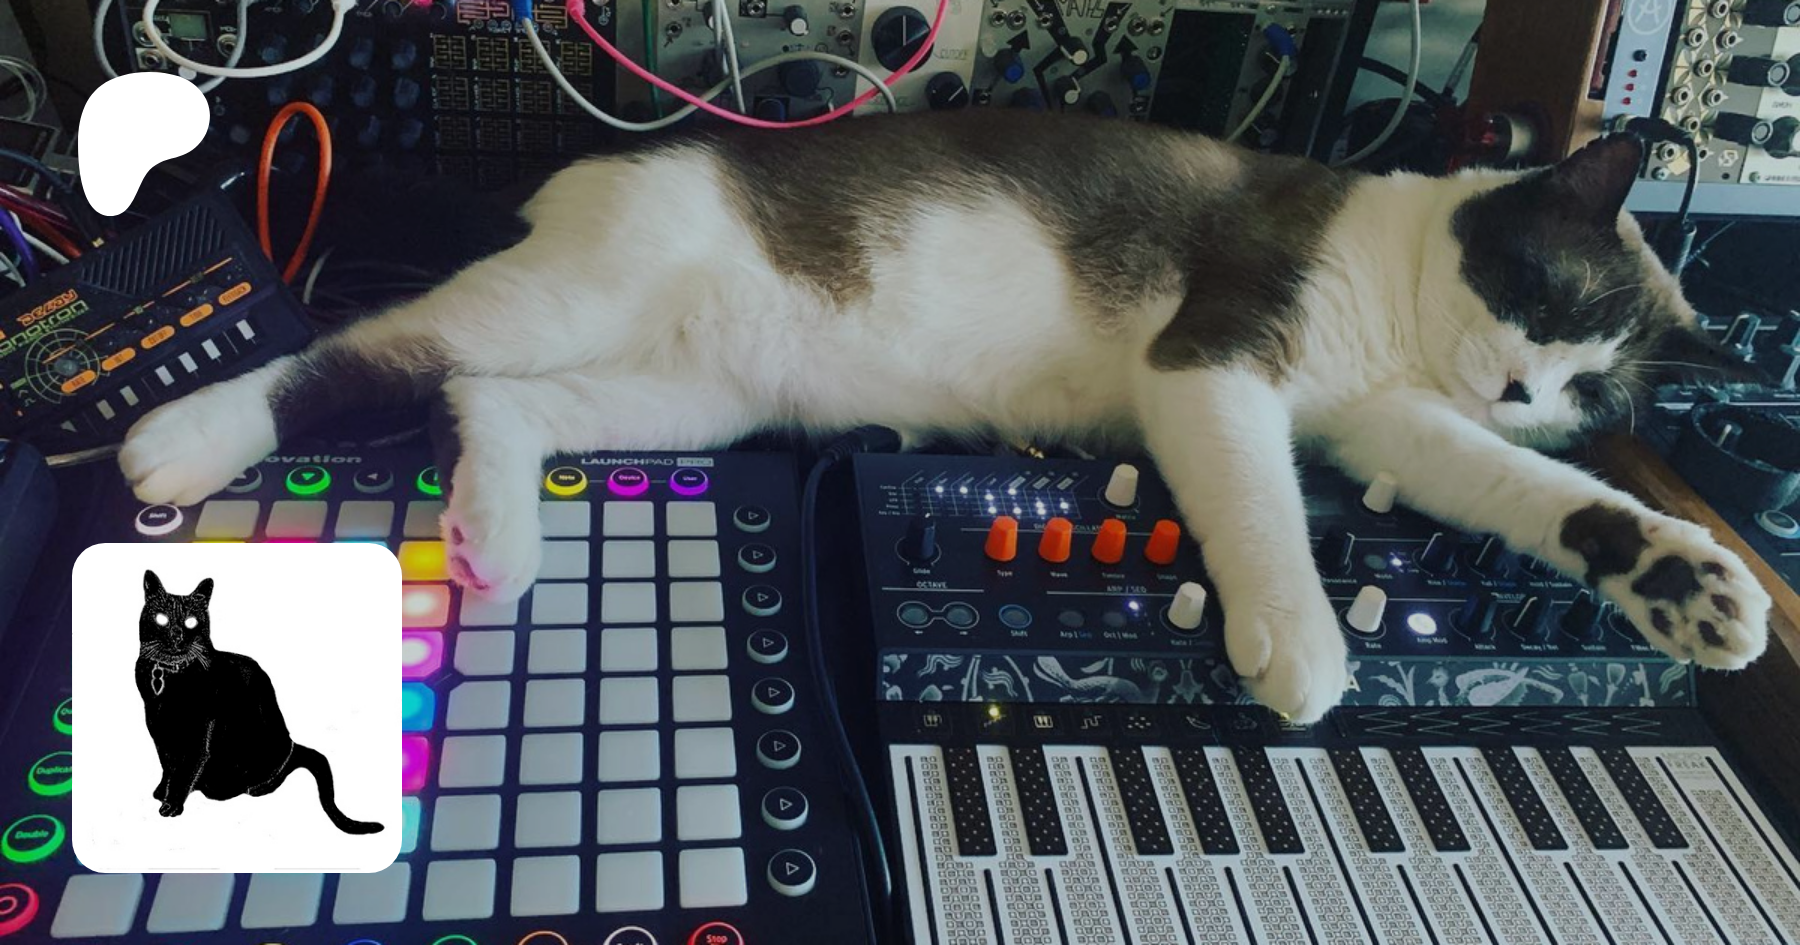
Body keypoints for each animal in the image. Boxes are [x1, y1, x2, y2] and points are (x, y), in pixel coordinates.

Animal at [118, 111, 1771, 722]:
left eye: (1596, 385)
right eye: (1545, 295)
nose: (1526, 387)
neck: (1400, 282)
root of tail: (592, 168)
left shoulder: (1389, 425)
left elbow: (1518, 492)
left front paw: (1684, 577)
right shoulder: (1214, 358)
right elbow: (1258, 504)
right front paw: (1299, 643)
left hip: (698, 391)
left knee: (491, 396)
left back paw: (499, 536)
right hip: (577, 295)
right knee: (370, 354)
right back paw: (182, 441)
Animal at [135, 569, 383, 834]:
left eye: (191, 621)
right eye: (162, 618)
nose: (177, 634)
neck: (169, 677)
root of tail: (292, 745)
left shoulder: (201, 729)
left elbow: (186, 768)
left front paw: (172, 805)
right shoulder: (157, 725)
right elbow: (167, 763)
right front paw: (162, 792)